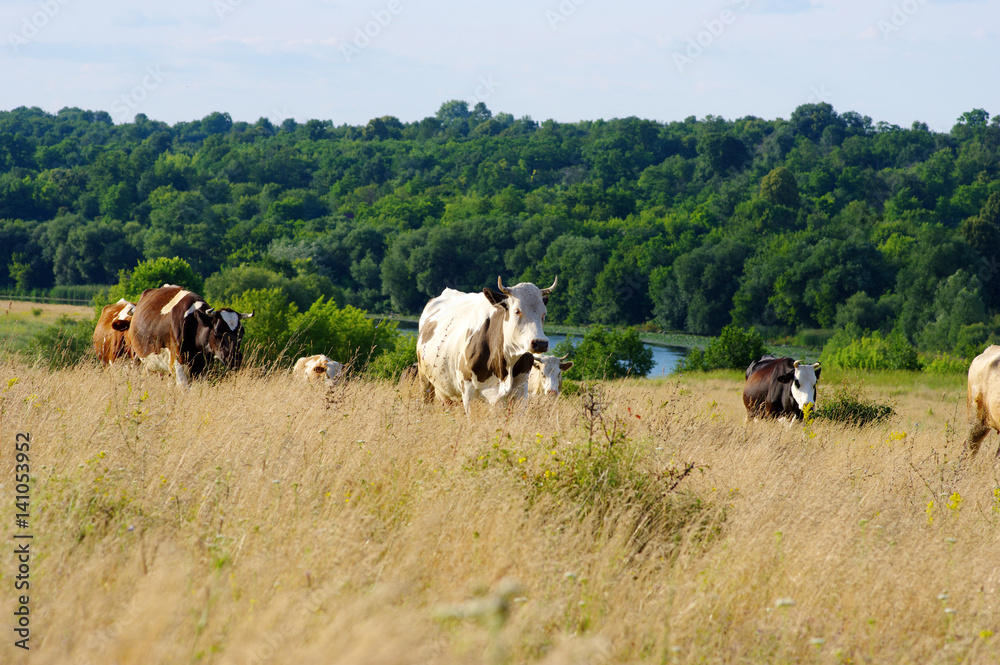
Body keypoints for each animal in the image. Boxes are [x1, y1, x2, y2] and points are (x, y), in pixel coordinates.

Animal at [122, 286, 252, 390]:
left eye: (241, 333)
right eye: (217, 331)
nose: (235, 358)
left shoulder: (202, 367)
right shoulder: (178, 364)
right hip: (140, 359)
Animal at [414, 272, 556, 412]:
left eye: (544, 314)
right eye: (517, 311)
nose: (541, 343)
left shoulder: (521, 391)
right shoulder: (468, 391)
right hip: (424, 379)